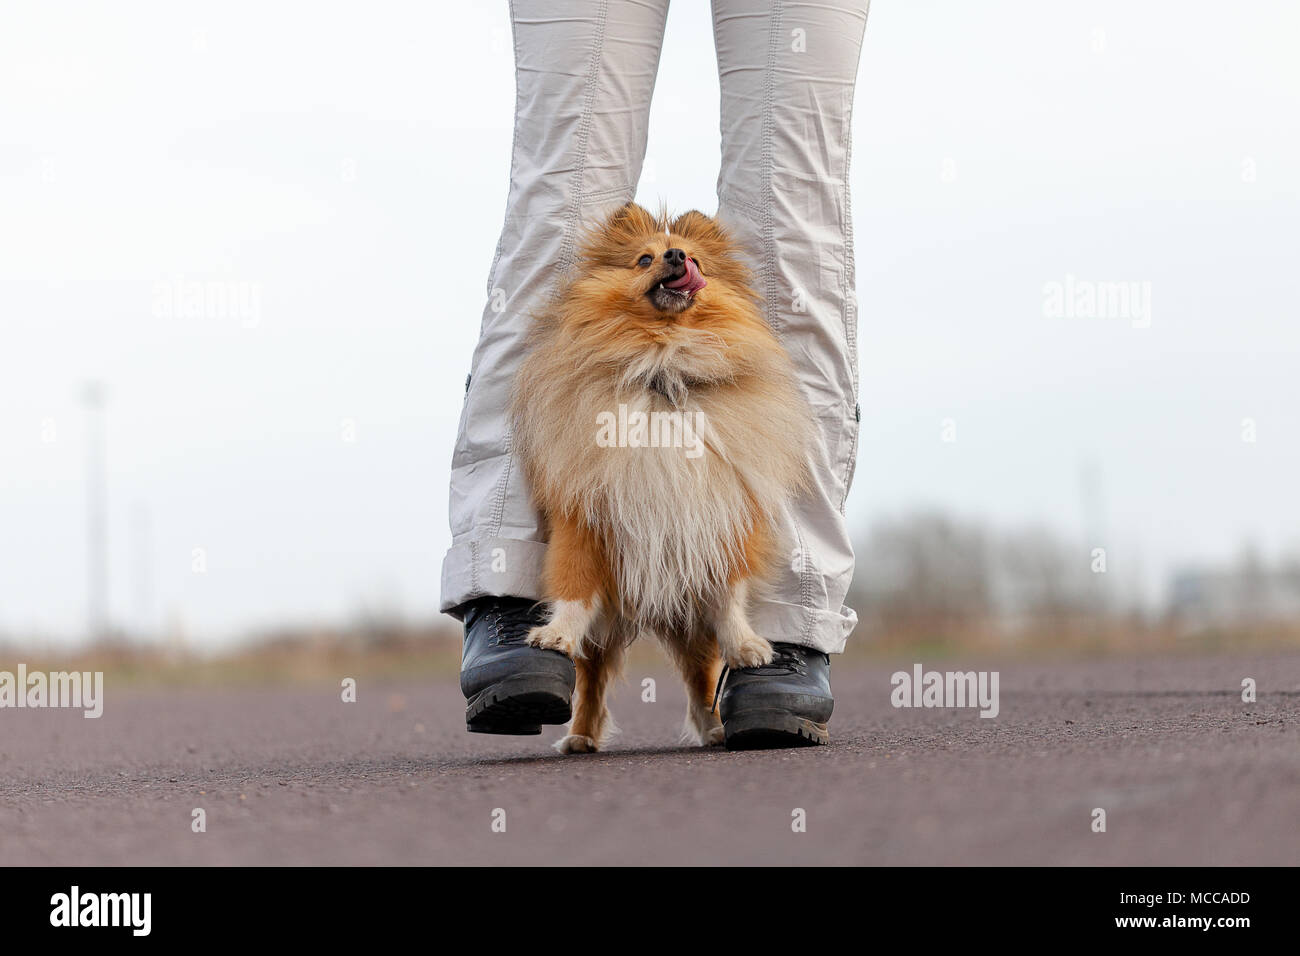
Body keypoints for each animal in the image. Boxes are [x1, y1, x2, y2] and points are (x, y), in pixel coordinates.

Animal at [509, 204, 806, 754]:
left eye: (694, 259)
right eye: (644, 258)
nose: (674, 257)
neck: (664, 368)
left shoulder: (721, 518)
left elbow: (729, 599)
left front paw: (747, 644)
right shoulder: (584, 521)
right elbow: (572, 588)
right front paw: (554, 634)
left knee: (701, 676)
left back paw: (715, 728)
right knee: (592, 677)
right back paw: (579, 737)